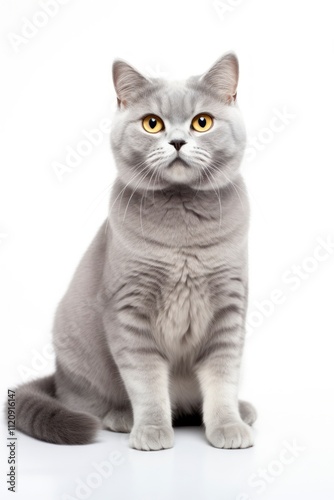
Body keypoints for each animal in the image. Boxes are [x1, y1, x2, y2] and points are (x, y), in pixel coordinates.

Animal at [14, 52, 258, 452]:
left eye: (202, 122)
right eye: (152, 124)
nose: (177, 141)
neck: (182, 235)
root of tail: (57, 376)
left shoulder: (229, 307)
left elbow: (223, 377)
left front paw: (228, 425)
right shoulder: (128, 309)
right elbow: (146, 381)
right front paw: (153, 429)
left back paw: (242, 410)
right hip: (76, 355)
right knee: (85, 401)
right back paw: (122, 417)